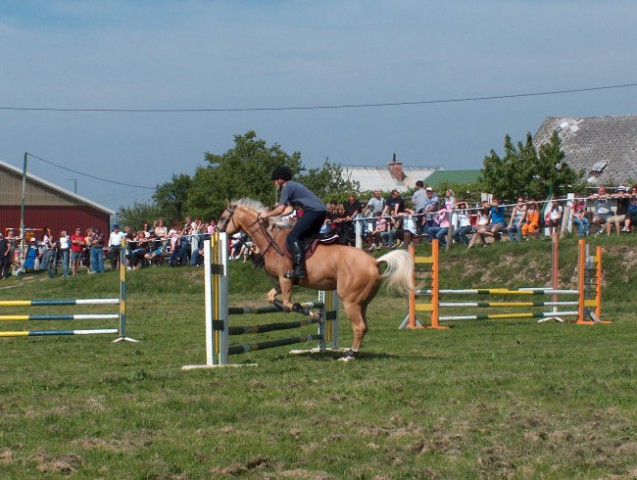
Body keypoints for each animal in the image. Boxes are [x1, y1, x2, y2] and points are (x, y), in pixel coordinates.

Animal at [216, 198, 410, 360]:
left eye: (223, 217)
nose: (216, 232)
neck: (271, 241)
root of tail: (374, 261)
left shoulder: (286, 279)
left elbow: (288, 304)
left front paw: (312, 314)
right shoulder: (282, 281)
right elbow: (272, 298)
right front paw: (310, 313)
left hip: (350, 301)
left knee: (359, 326)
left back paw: (349, 355)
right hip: (362, 302)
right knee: (364, 326)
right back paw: (351, 352)